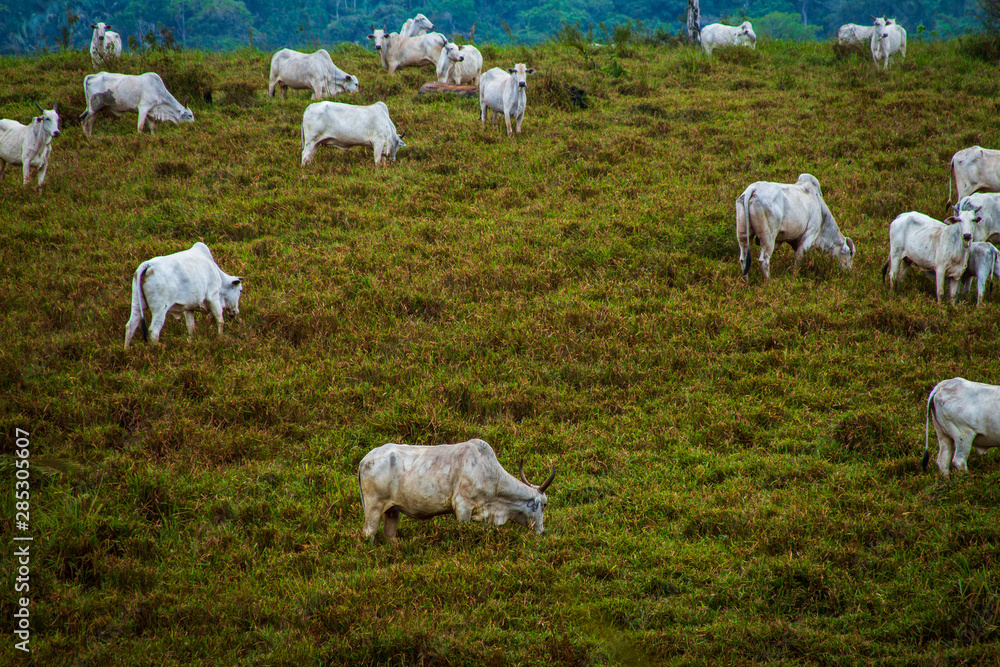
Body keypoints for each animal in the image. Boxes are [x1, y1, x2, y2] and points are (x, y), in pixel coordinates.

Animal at [358, 438, 560, 544]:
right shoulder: (463, 507)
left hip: (392, 510)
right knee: (369, 532)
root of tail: (365, 460)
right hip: (374, 507)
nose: (542, 530)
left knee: (389, 534)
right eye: (543, 505)